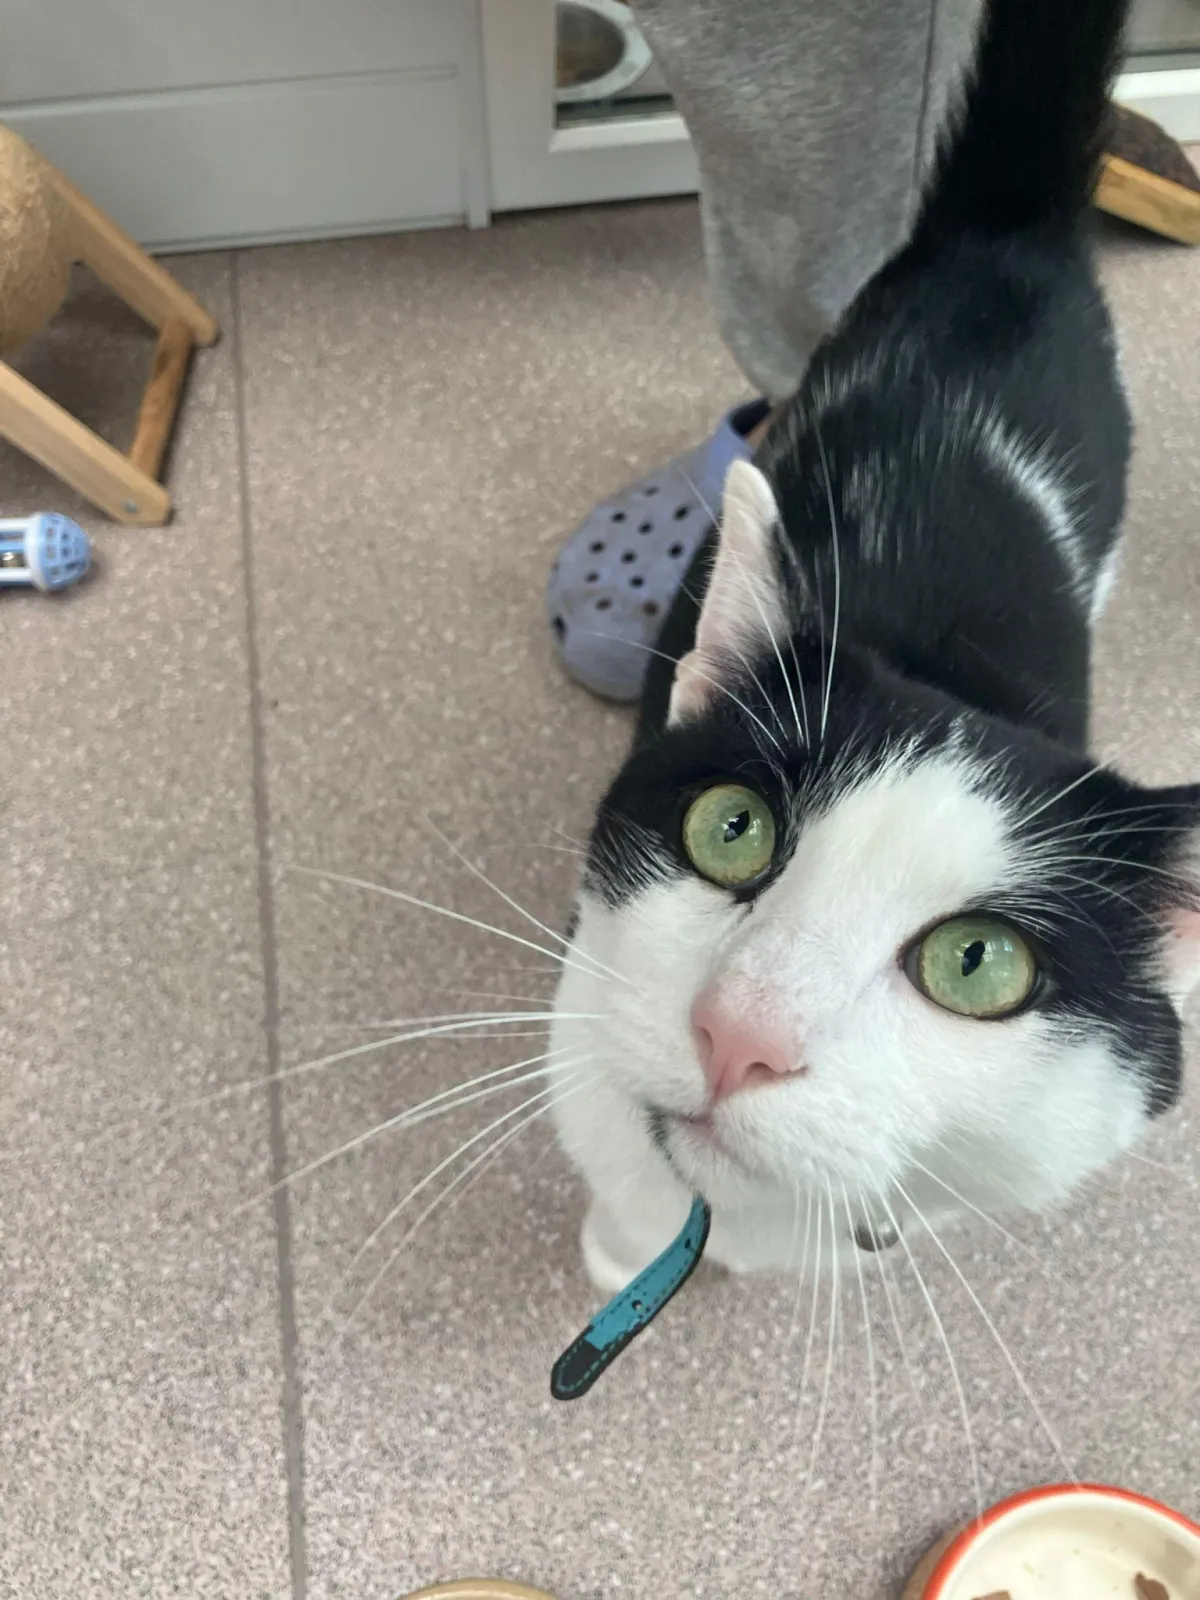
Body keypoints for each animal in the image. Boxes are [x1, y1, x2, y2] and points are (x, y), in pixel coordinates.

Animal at [549, 0, 1200, 1295]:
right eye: (731, 828)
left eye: (976, 963)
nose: (737, 1032)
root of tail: (1007, 237)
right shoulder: (587, 1001)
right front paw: (617, 1250)